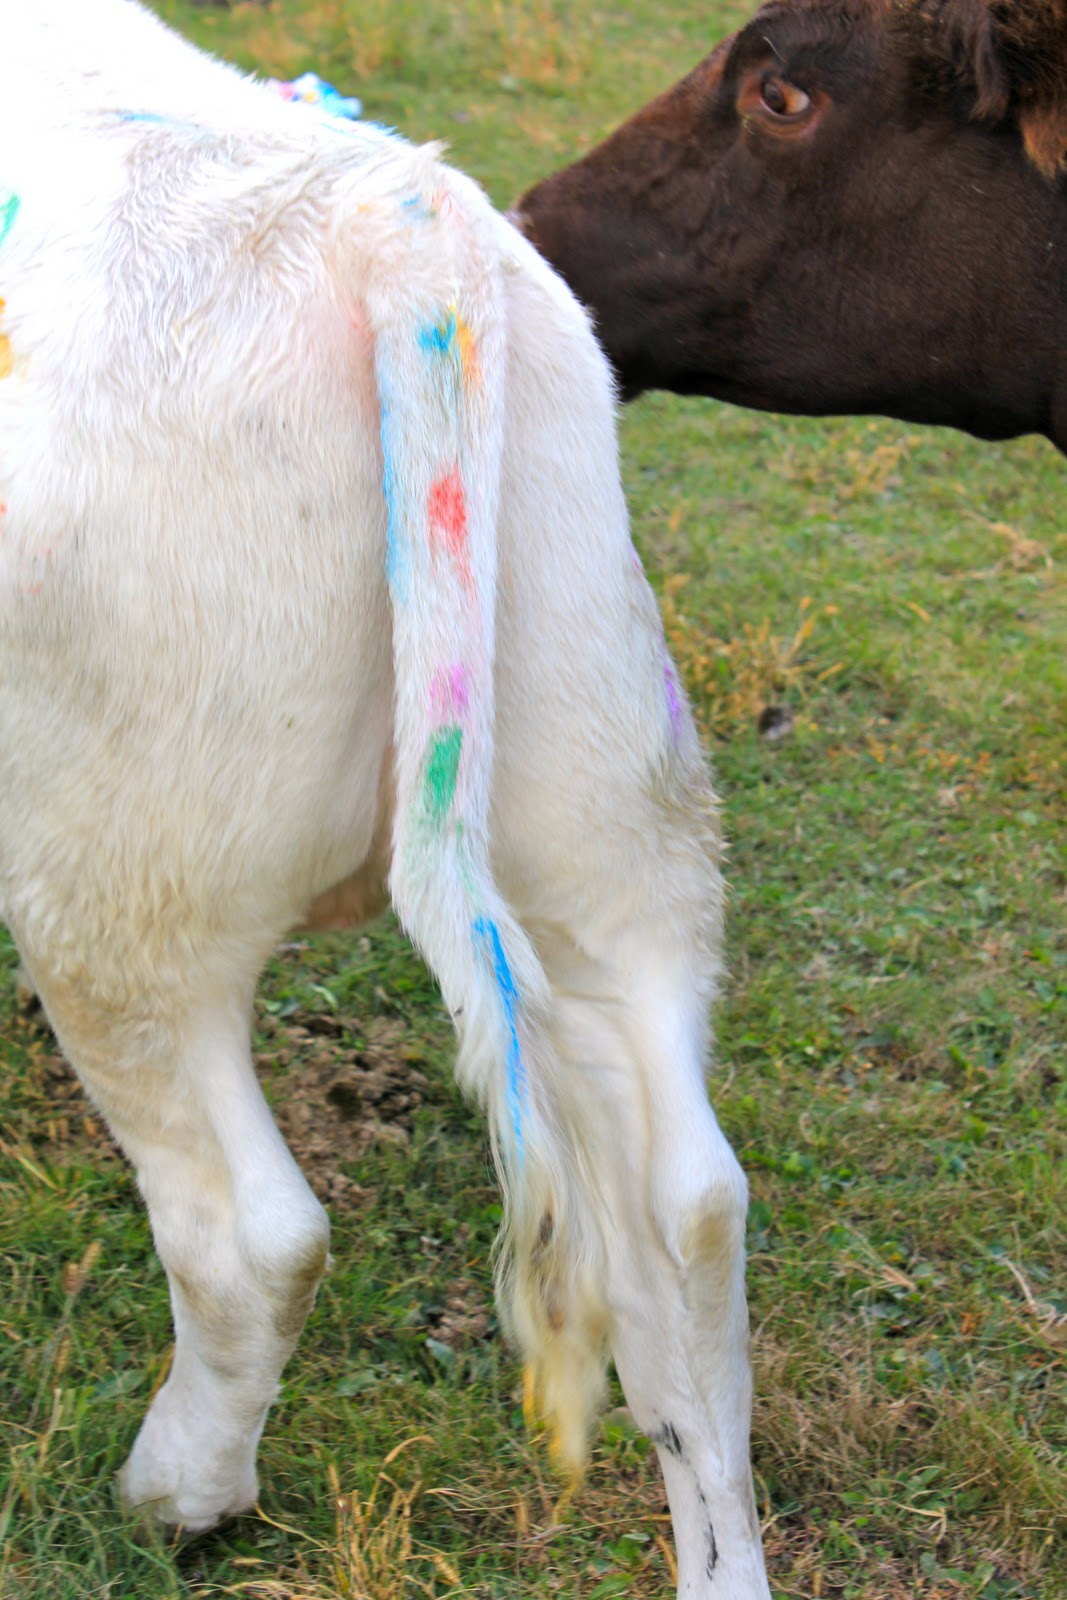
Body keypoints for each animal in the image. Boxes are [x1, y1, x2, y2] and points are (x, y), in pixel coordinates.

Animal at [0, 3, 771, 1595]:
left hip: (117, 882)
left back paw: (176, 1496)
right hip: (614, 813)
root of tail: (389, 211)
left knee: (254, 1234)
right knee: (686, 1209)